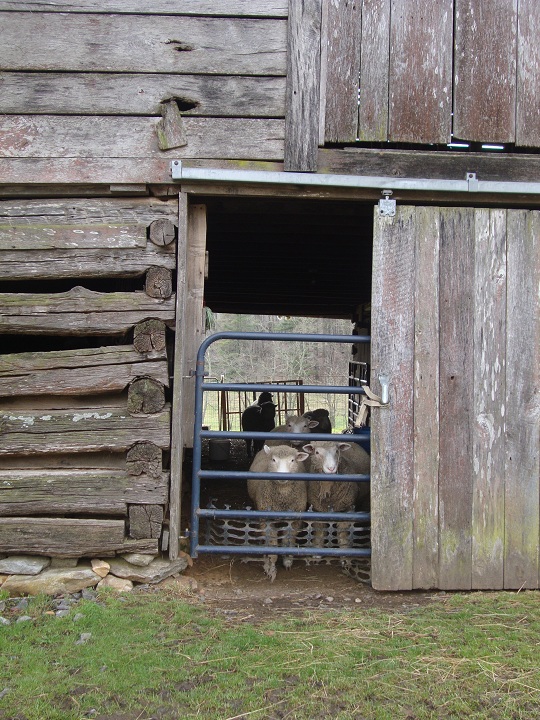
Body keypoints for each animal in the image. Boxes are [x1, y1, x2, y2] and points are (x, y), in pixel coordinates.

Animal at [246, 444, 306, 580]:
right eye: (273, 460)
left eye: (292, 460)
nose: (282, 475)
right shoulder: (267, 519)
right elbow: (272, 546)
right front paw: (271, 568)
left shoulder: (294, 520)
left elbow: (288, 540)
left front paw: (287, 561)